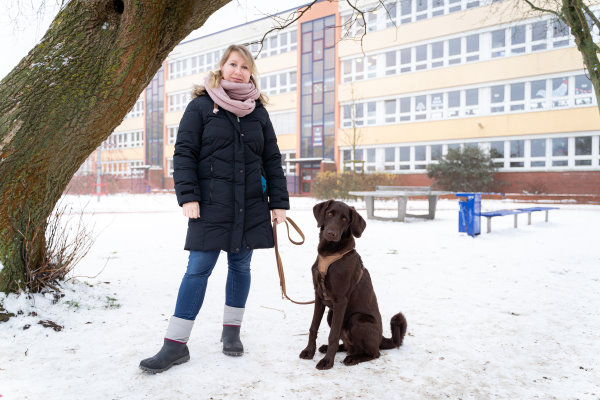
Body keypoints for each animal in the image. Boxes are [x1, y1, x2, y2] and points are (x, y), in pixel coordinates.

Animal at [300, 198, 408, 370]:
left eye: (345, 219)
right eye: (329, 214)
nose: (331, 233)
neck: (329, 253)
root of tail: (381, 338)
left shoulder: (340, 300)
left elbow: (333, 335)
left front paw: (327, 362)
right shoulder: (319, 296)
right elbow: (313, 327)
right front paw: (309, 351)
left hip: (356, 318)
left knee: (374, 353)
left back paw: (353, 358)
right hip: (331, 314)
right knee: (349, 345)